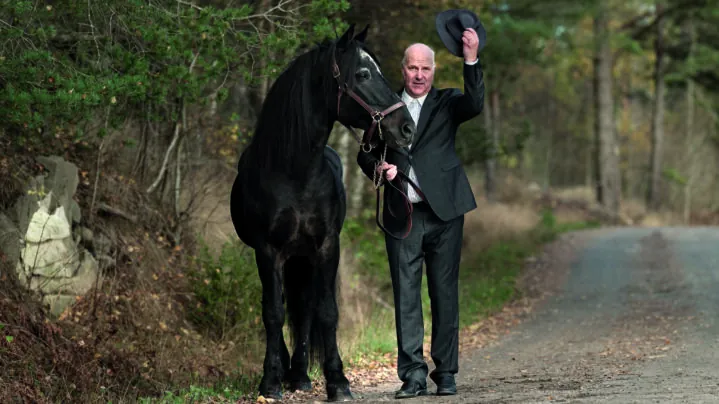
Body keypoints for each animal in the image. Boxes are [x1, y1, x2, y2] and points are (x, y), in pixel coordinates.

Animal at [230, 24, 416, 401]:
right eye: (363, 74)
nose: (406, 128)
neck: (295, 171)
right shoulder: (267, 250)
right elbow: (273, 312)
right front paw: (270, 382)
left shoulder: (328, 246)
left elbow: (327, 311)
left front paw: (338, 381)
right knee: (287, 307)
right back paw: (288, 372)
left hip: (303, 257)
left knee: (305, 309)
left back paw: (300, 375)